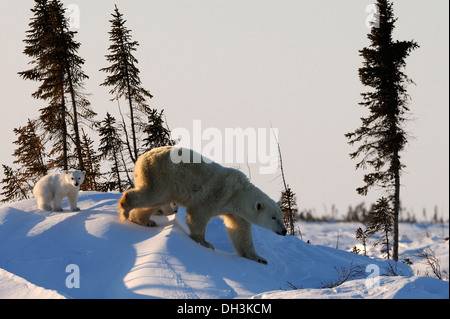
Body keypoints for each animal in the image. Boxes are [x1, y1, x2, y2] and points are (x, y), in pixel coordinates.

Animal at [118, 146, 286, 264]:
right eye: (273, 218)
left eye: (281, 217)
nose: (284, 231)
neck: (238, 193)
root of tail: (142, 158)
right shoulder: (218, 193)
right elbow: (198, 214)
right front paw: (205, 243)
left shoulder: (236, 213)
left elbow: (241, 232)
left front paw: (259, 258)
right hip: (162, 175)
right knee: (152, 194)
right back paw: (126, 209)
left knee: (156, 200)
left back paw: (145, 220)